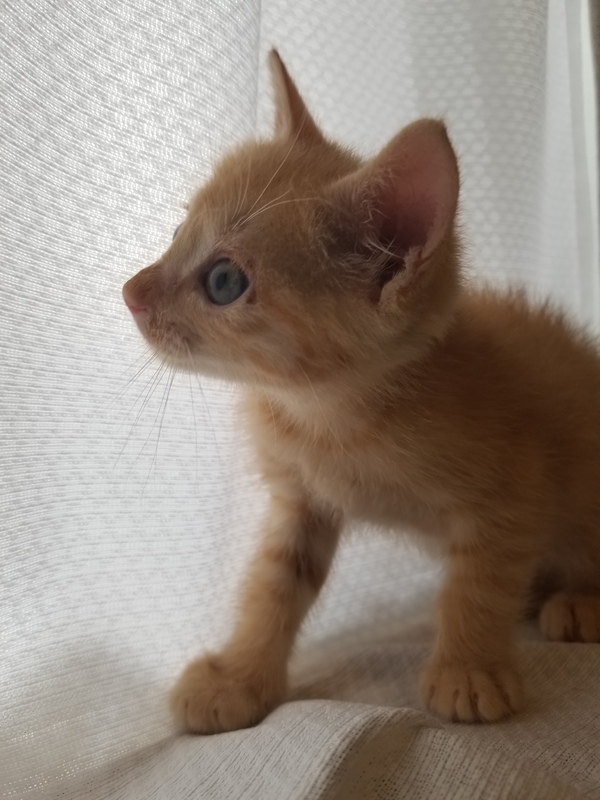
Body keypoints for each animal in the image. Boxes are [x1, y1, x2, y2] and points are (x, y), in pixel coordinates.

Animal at [123, 49, 600, 733]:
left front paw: (469, 669)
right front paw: (239, 678)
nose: (130, 292)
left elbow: (479, 583)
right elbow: (273, 585)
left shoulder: (515, 486)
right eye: (177, 232)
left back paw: (580, 600)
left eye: (223, 281)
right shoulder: (300, 501)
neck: (329, 414)